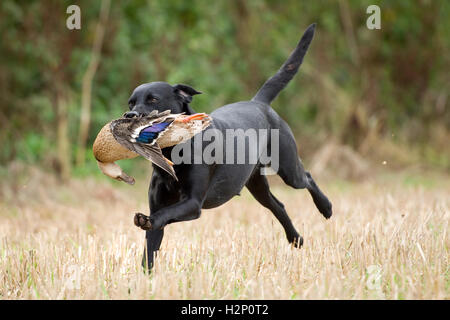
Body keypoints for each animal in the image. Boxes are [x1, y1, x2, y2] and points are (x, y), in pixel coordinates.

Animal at [126, 23, 330, 268]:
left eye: (153, 99)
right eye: (131, 103)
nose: (129, 115)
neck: (173, 152)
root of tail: (258, 103)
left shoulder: (193, 203)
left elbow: (163, 216)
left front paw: (146, 220)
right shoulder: (159, 206)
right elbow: (149, 251)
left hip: (288, 168)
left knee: (307, 177)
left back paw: (326, 207)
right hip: (256, 184)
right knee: (278, 206)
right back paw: (295, 238)